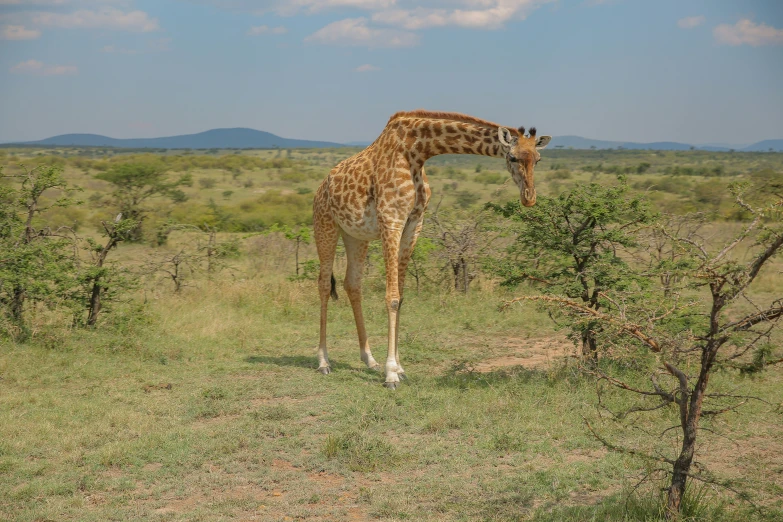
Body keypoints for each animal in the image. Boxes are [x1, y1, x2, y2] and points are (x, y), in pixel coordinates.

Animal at [312, 109, 552, 386]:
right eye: (512, 157)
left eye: (539, 159)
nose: (529, 198)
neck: (416, 153)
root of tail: (322, 186)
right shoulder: (391, 220)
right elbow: (392, 297)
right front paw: (391, 374)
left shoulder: (414, 224)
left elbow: (401, 297)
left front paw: (399, 367)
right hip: (325, 225)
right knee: (322, 284)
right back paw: (323, 362)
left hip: (355, 235)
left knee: (352, 284)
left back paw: (368, 359)